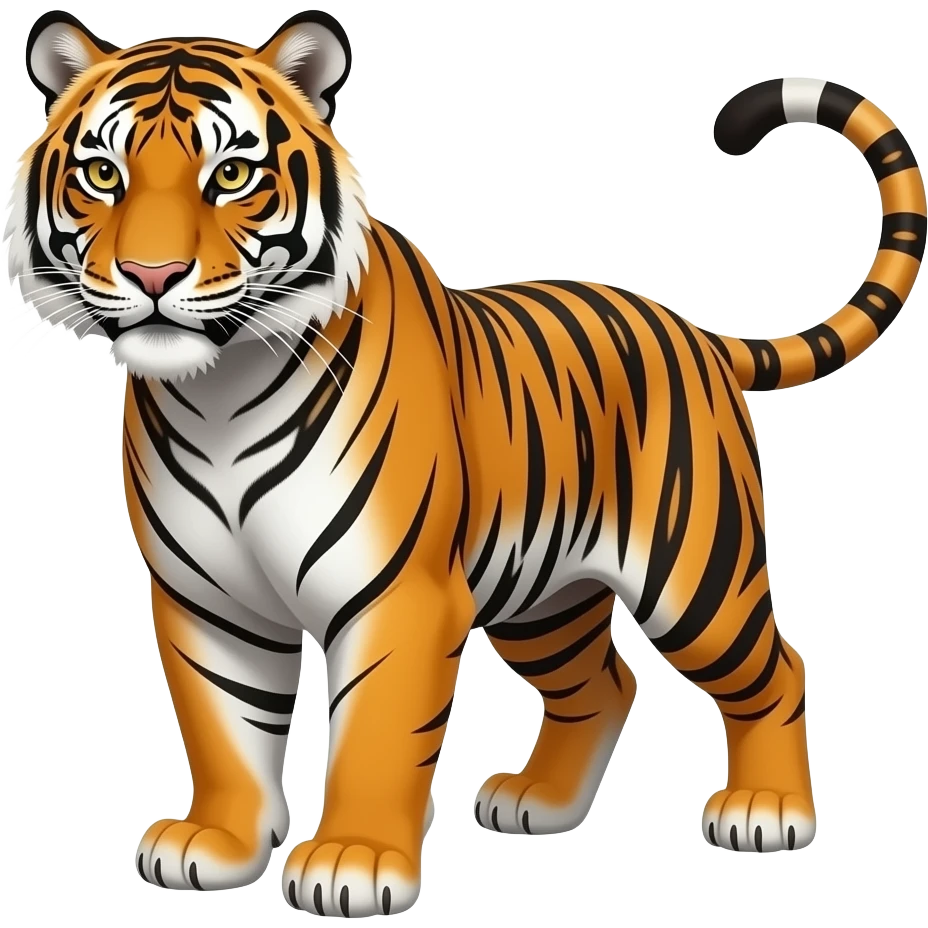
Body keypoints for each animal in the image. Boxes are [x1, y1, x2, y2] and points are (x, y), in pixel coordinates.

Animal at [5, 6, 925, 915]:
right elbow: (223, 725)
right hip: (544, 597)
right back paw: (541, 803)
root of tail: (696, 331)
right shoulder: (207, 599)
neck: (220, 390)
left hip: (696, 575)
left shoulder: (398, 593)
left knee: (777, 668)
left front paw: (352, 862)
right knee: (604, 683)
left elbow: (376, 733)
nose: (151, 273)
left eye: (231, 175)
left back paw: (768, 811)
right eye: (101, 173)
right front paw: (220, 844)